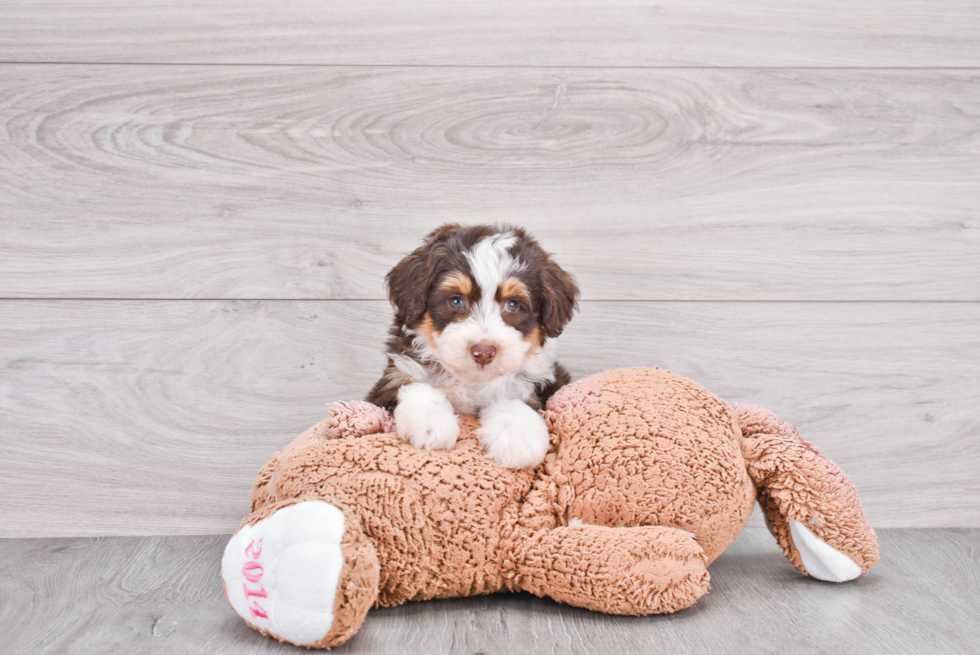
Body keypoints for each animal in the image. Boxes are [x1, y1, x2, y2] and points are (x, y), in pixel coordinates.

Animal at [368, 227, 580, 472]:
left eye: (513, 304)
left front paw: (517, 435)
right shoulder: (394, 376)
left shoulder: (545, 382)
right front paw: (430, 422)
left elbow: (515, 398)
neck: (472, 381)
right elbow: (414, 386)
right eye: (456, 301)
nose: (484, 352)